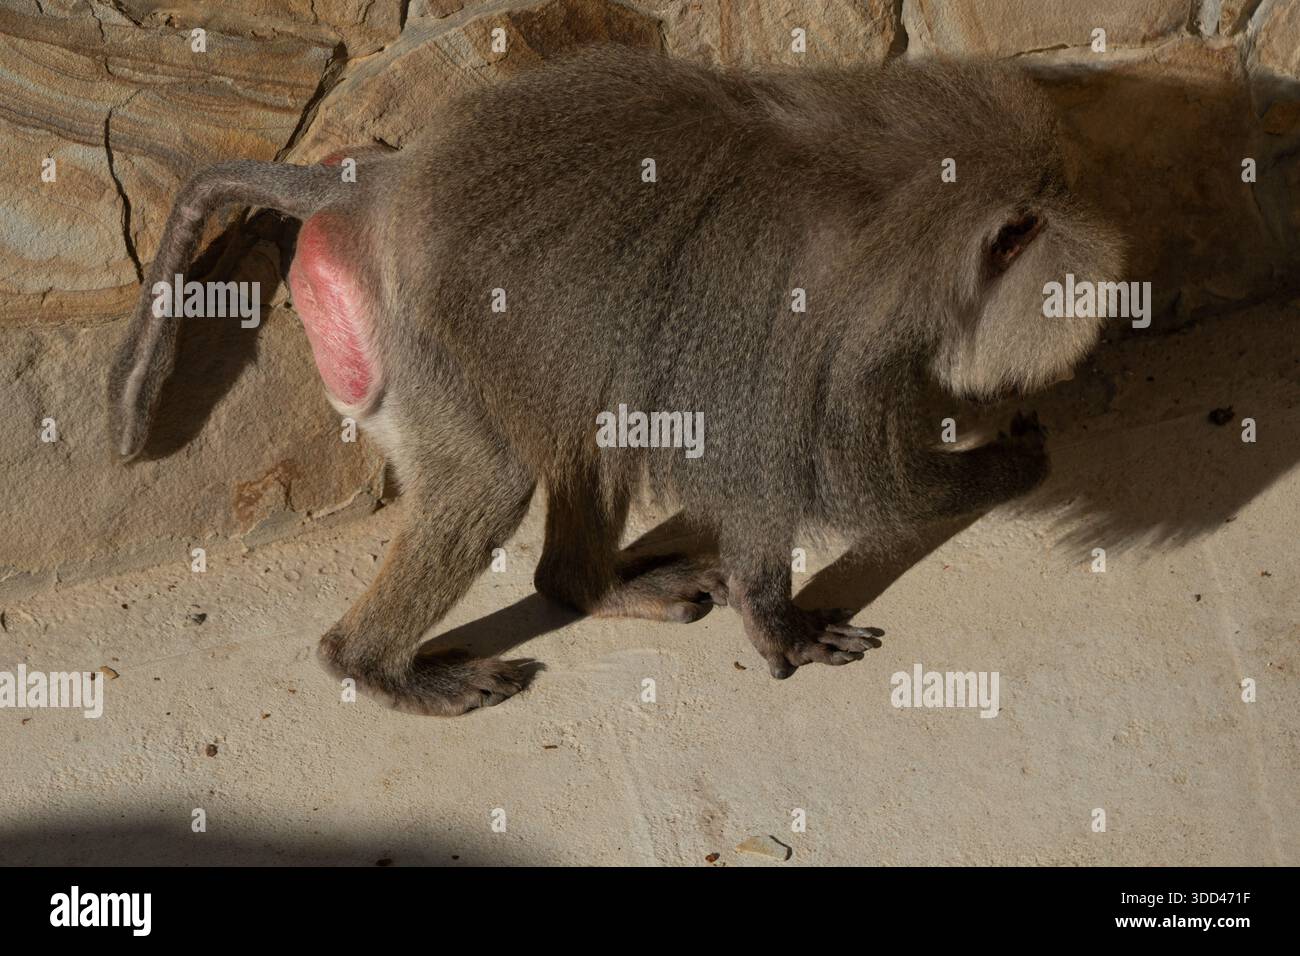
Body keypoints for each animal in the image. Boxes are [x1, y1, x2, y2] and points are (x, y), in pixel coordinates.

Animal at [107, 46, 1125, 716]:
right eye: (1044, 215)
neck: (893, 198)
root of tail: (373, 186)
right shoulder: (815, 343)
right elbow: (834, 480)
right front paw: (789, 625)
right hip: (427, 347)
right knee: (487, 484)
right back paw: (378, 670)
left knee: (594, 419)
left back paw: (587, 589)